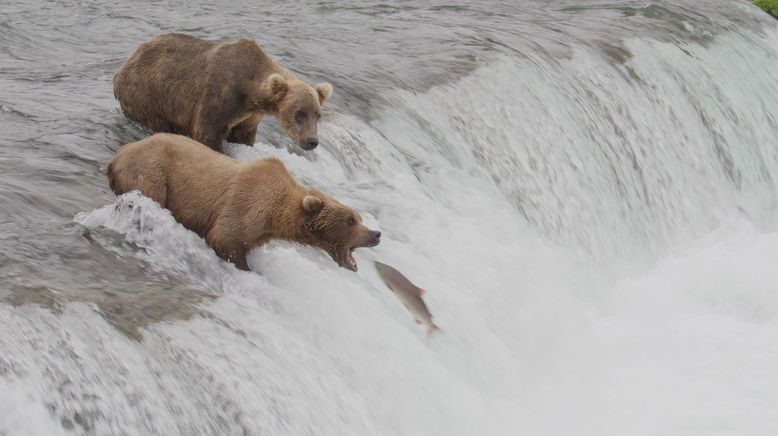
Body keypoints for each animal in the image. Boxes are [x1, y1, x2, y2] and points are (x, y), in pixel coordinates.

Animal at [105, 133, 378, 270]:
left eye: (359, 217)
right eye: (350, 220)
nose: (376, 234)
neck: (277, 217)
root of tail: (118, 154)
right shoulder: (246, 205)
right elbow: (224, 237)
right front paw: (246, 268)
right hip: (152, 172)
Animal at [113, 33, 332, 153]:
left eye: (317, 115)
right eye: (299, 113)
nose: (312, 141)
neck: (250, 92)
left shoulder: (248, 117)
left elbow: (244, 135)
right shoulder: (220, 93)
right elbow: (208, 132)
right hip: (148, 94)